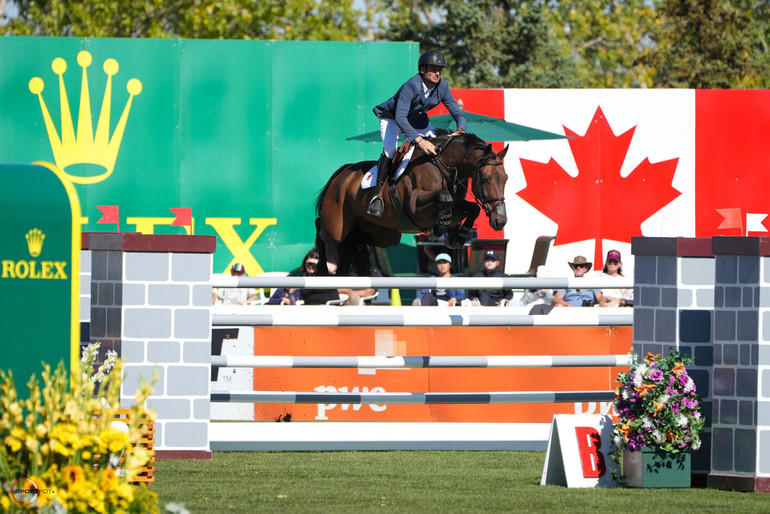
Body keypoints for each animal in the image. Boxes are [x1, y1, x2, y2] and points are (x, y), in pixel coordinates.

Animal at [314, 132, 510, 276]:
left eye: (506, 178)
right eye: (485, 179)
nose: (500, 221)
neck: (445, 168)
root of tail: (342, 173)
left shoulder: (456, 208)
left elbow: (472, 208)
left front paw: (457, 239)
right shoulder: (417, 209)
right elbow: (444, 196)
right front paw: (437, 230)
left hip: (384, 234)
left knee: (358, 239)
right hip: (336, 226)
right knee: (322, 231)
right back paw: (322, 268)